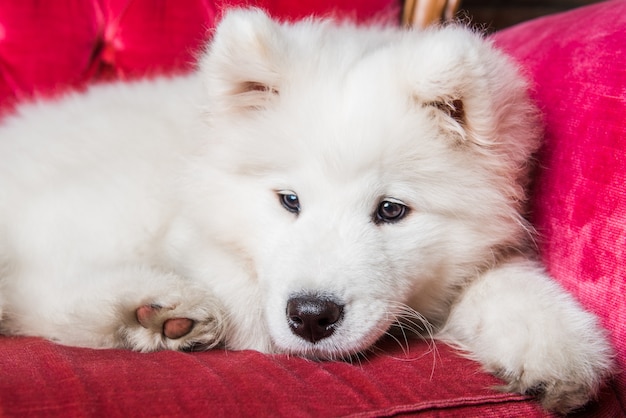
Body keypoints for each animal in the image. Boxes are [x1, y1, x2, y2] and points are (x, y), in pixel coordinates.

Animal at [0, 8, 612, 414]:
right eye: (289, 200)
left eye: (391, 211)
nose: (312, 317)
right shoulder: (193, 232)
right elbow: (252, 313)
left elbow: (502, 281)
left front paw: (558, 348)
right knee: (37, 289)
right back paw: (155, 311)